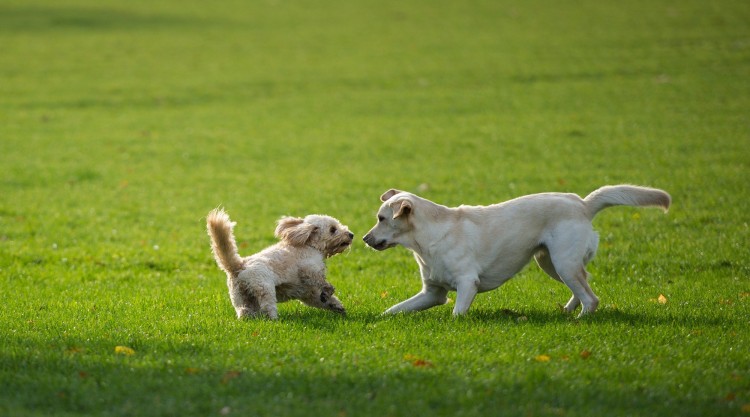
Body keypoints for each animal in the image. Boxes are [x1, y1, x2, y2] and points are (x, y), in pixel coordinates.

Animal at [206, 208, 352, 318]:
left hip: (241, 298)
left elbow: (321, 299)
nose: (351, 234)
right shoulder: (310, 270)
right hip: (265, 289)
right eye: (333, 229)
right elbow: (326, 285)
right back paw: (275, 320)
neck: (310, 245)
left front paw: (336, 306)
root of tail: (239, 266)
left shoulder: (307, 293)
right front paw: (327, 293)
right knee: (268, 308)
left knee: (244, 311)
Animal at [362, 184, 672, 316]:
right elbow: (393, 310)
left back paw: (579, 320)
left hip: (563, 262)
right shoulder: (432, 293)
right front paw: (377, 321)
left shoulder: (467, 284)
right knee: (583, 287)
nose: (363, 238)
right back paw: (567, 311)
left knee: (591, 298)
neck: (427, 239)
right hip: (550, 263)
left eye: (381, 218)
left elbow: (457, 314)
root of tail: (583, 204)